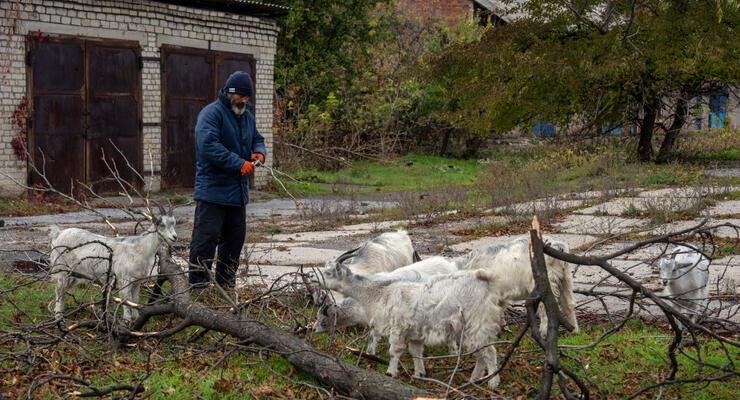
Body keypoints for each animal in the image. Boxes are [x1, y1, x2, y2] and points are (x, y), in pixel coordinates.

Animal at [49, 209, 178, 322]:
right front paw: (127, 320)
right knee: (59, 291)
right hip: (61, 269)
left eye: (174, 223)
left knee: (62, 292)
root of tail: (58, 234)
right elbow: (125, 298)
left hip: (72, 274)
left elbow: (135, 299)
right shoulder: (124, 278)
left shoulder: (137, 280)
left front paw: (135, 318)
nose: (174, 237)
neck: (139, 248)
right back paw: (58, 317)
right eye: (161, 224)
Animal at [318, 262, 502, 388]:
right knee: (480, 353)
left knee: (489, 352)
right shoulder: (415, 332)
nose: (317, 281)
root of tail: (484, 282)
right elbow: (416, 352)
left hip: (477, 323)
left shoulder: (398, 328)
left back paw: (493, 383)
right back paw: (474, 379)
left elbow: (394, 351)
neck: (381, 293)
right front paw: (419, 374)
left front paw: (390, 372)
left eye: (328, 273)